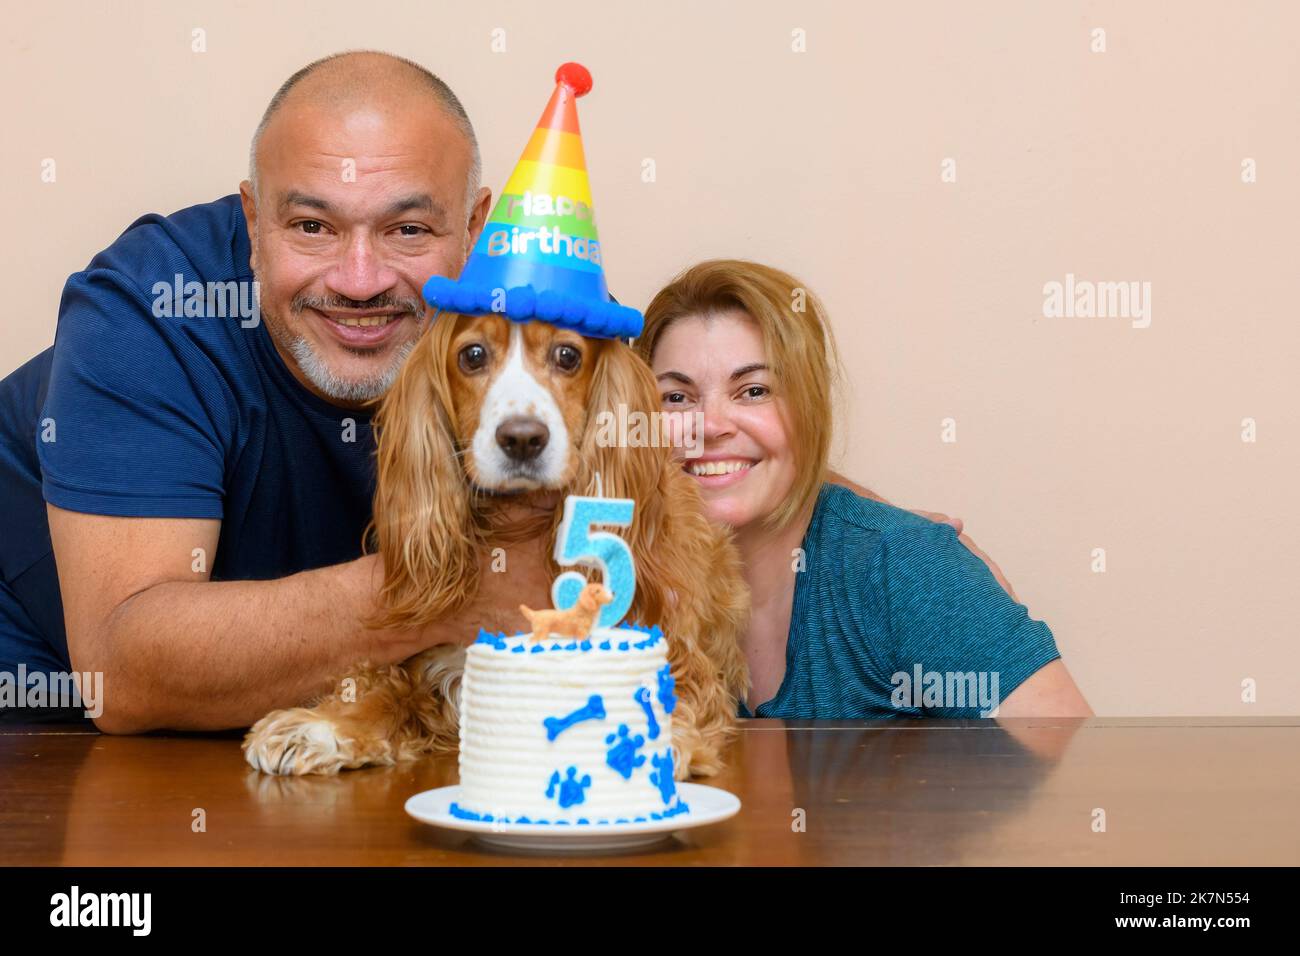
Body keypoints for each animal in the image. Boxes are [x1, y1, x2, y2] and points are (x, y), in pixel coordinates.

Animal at [244, 314, 754, 780]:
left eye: (567, 356)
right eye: (472, 355)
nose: (523, 438)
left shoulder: (680, 660)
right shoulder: (432, 667)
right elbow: (382, 691)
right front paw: (322, 726)